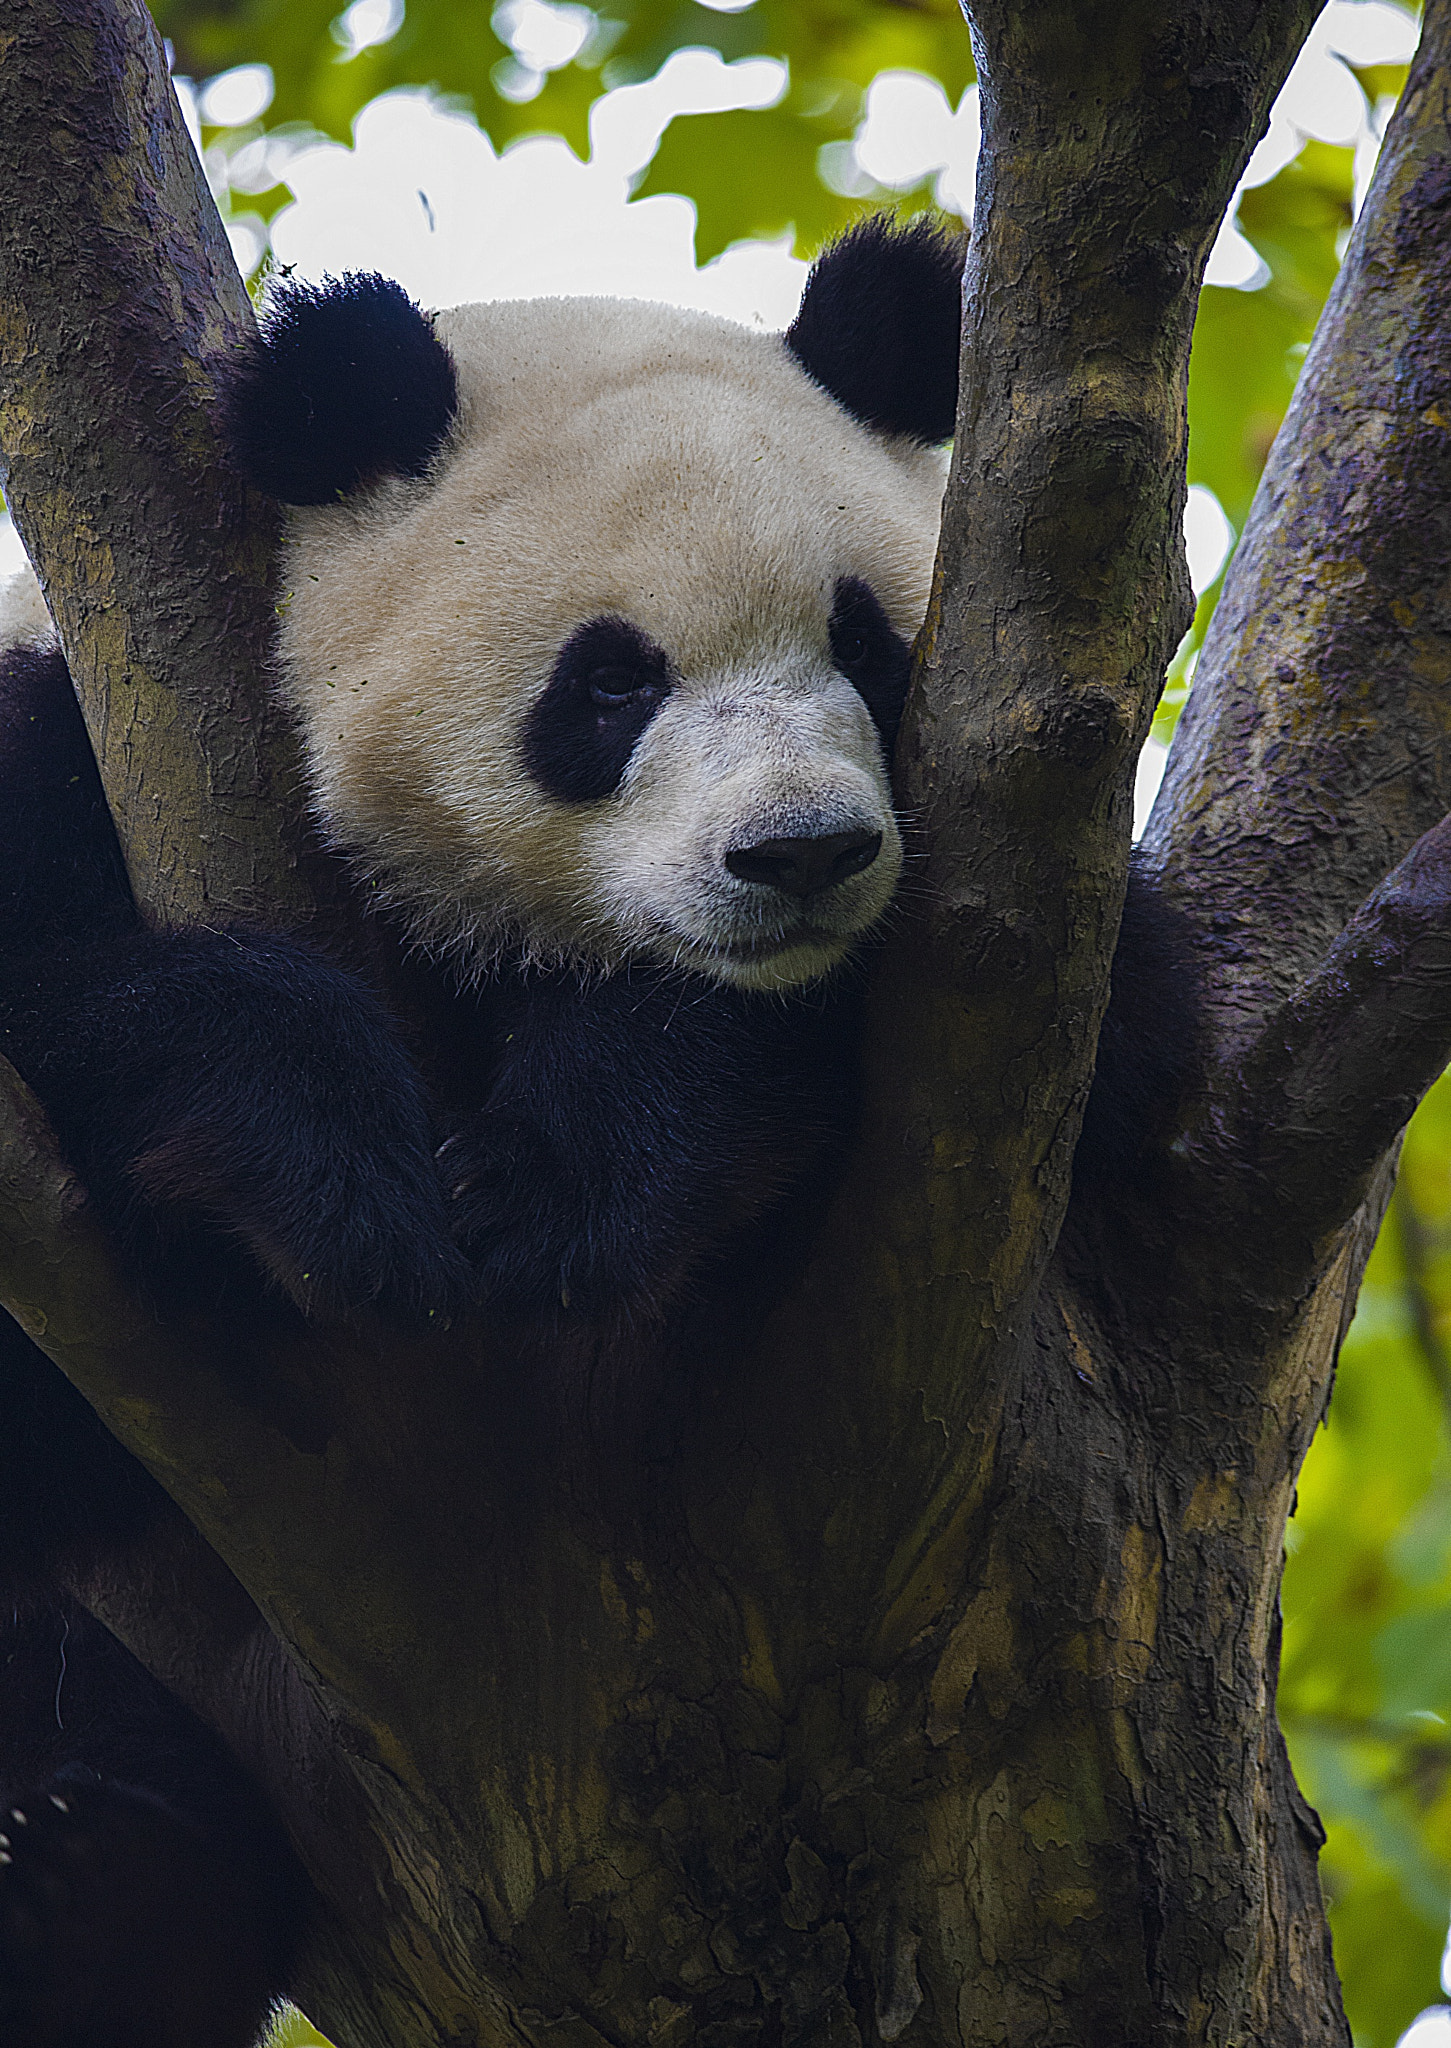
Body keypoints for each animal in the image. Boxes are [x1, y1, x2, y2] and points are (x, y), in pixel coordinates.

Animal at [0, 217, 963, 2047]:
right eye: (611, 682)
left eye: (867, 649)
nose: (800, 854)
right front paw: (345, 1173)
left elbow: (777, 1034)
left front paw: (548, 1191)